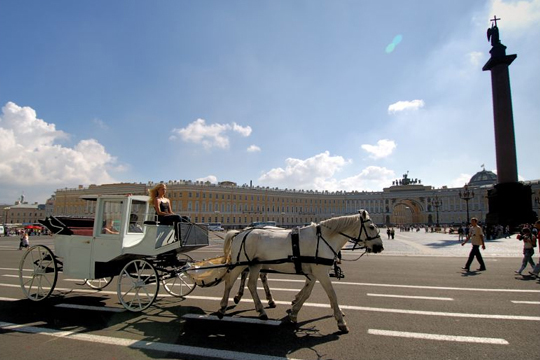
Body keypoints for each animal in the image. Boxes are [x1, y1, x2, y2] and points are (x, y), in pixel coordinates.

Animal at [217, 210, 382, 334]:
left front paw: (294, 312)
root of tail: (240, 233)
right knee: (230, 281)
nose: (380, 247)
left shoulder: (313, 273)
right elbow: (332, 294)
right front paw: (341, 322)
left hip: (256, 265)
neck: (323, 239)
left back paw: (262, 310)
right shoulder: (321, 273)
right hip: (240, 264)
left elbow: (306, 293)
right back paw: (223, 307)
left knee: (252, 284)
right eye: (372, 227)